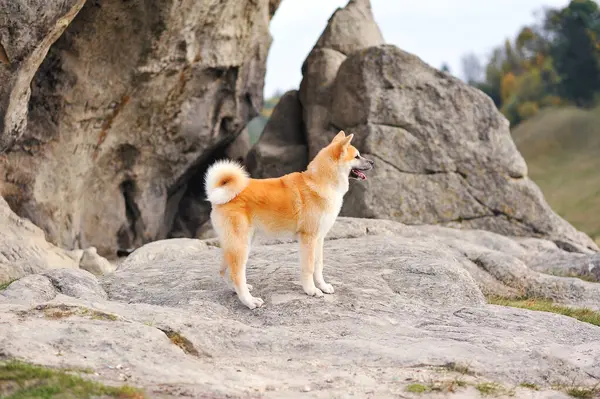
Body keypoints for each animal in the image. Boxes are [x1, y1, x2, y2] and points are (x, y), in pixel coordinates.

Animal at [206, 130, 376, 310]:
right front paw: (311, 290)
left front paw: (322, 286)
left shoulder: (319, 239)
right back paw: (250, 301)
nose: (373, 162)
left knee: (225, 271)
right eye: (357, 156)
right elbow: (309, 268)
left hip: (237, 243)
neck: (320, 183)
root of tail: (218, 195)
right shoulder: (308, 239)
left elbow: (318, 266)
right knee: (236, 274)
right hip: (241, 245)